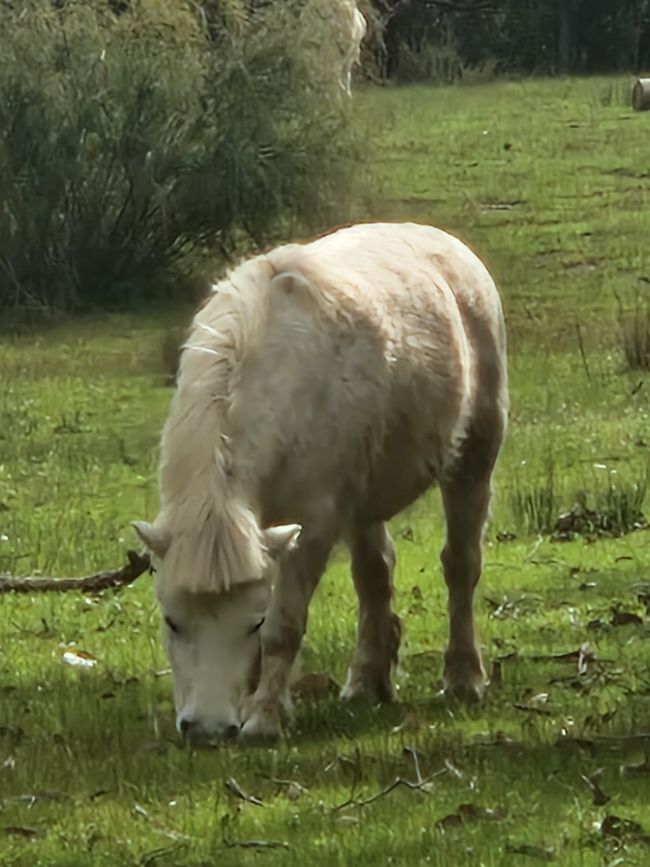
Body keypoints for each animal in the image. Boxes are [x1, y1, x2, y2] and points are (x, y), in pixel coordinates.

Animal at [132, 220, 506, 744]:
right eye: (172, 621)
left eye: (252, 623)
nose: (207, 730)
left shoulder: (311, 525)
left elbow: (284, 627)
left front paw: (264, 719)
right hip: (364, 501)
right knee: (375, 577)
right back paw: (367, 684)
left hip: (472, 463)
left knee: (460, 567)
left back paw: (462, 678)